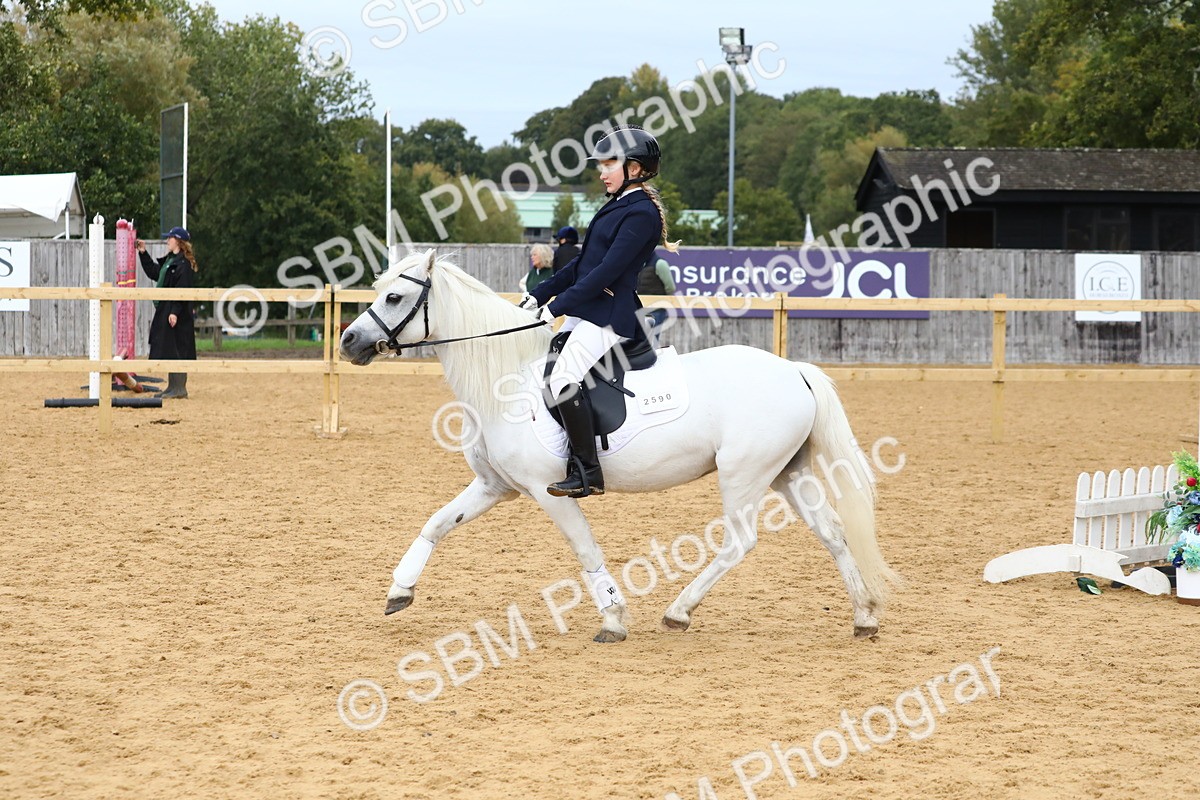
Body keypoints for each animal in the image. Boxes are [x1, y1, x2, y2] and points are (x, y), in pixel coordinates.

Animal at [339, 249, 898, 643]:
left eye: (394, 299)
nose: (348, 341)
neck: (506, 378)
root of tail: (793, 370)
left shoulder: (547, 490)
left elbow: (585, 549)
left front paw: (613, 617)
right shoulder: (495, 486)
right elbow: (436, 524)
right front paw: (400, 590)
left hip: (744, 475)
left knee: (739, 542)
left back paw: (678, 612)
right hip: (787, 473)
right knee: (832, 533)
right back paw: (864, 616)